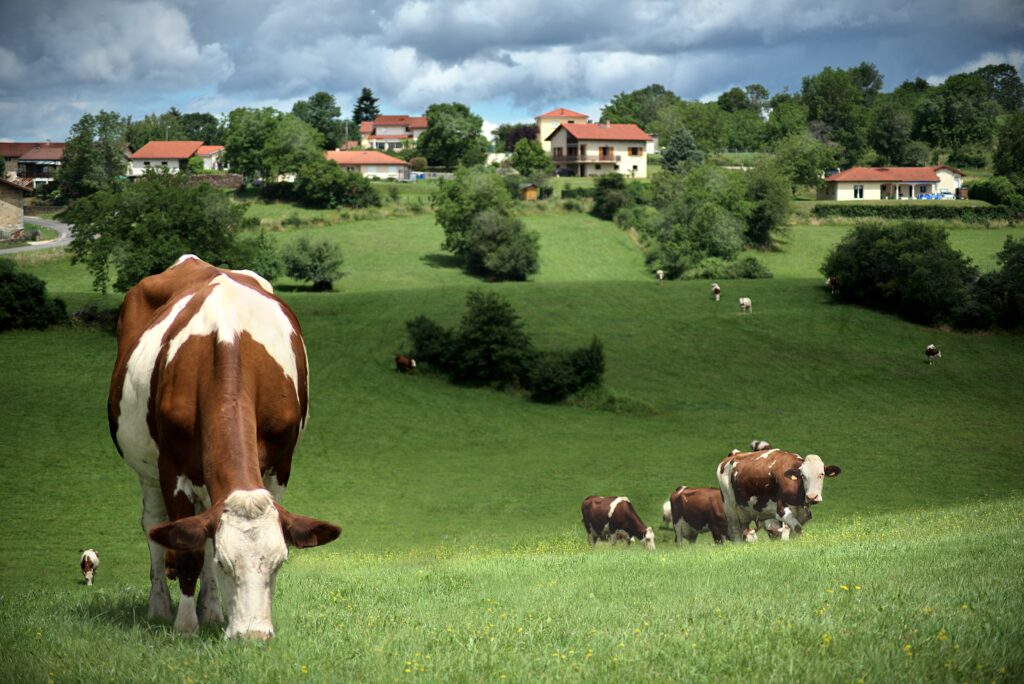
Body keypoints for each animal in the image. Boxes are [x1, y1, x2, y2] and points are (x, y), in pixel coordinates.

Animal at [108, 253, 342, 638]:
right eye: (224, 563)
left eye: (280, 562)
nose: (253, 635)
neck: (228, 343)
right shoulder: (172, 468)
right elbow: (188, 550)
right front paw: (185, 625)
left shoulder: (280, 465)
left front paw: (215, 612)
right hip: (146, 467)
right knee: (155, 526)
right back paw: (159, 607)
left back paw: (213, 610)